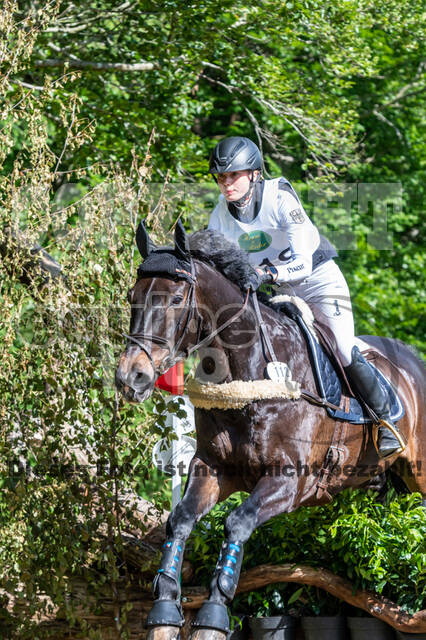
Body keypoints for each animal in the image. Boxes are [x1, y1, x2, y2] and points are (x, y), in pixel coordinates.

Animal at [115, 221, 426, 640]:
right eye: (132, 296)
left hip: (418, 472)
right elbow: (180, 520)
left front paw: (214, 614)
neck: (248, 373)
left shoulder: (290, 481)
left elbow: (237, 522)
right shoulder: (214, 468)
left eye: (177, 298)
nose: (131, 377)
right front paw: (164, 605)